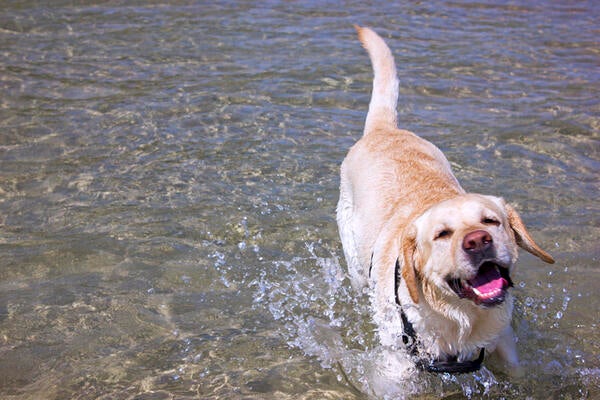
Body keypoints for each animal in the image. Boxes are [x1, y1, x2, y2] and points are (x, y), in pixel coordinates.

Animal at [336, 26, 556, 374]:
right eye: (442, 234)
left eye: (490, 221)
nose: (478, 241)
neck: (461, 319)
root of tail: (385, 129)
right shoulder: (398, 360)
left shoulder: (503, 339)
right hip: (355, 262)